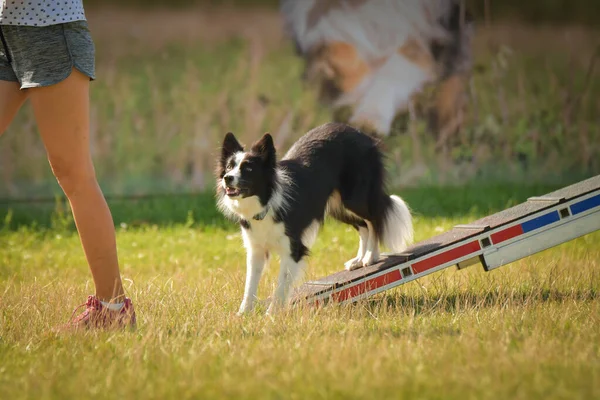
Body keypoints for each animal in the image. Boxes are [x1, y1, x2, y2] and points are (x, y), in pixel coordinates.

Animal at [216, 123, 412, 314]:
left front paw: (271, 315)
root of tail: (361, 134)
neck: (266, 201)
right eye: (229, 167)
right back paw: (358, 260)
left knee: (374, 220)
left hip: (355, 199)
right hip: (338, 206)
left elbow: (281, 284)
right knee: (363, 226)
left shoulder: (293, 248)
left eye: (248, 169)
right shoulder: (256, 249)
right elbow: (250, 284)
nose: (227, 178)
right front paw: (243, 314)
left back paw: (371, 256)